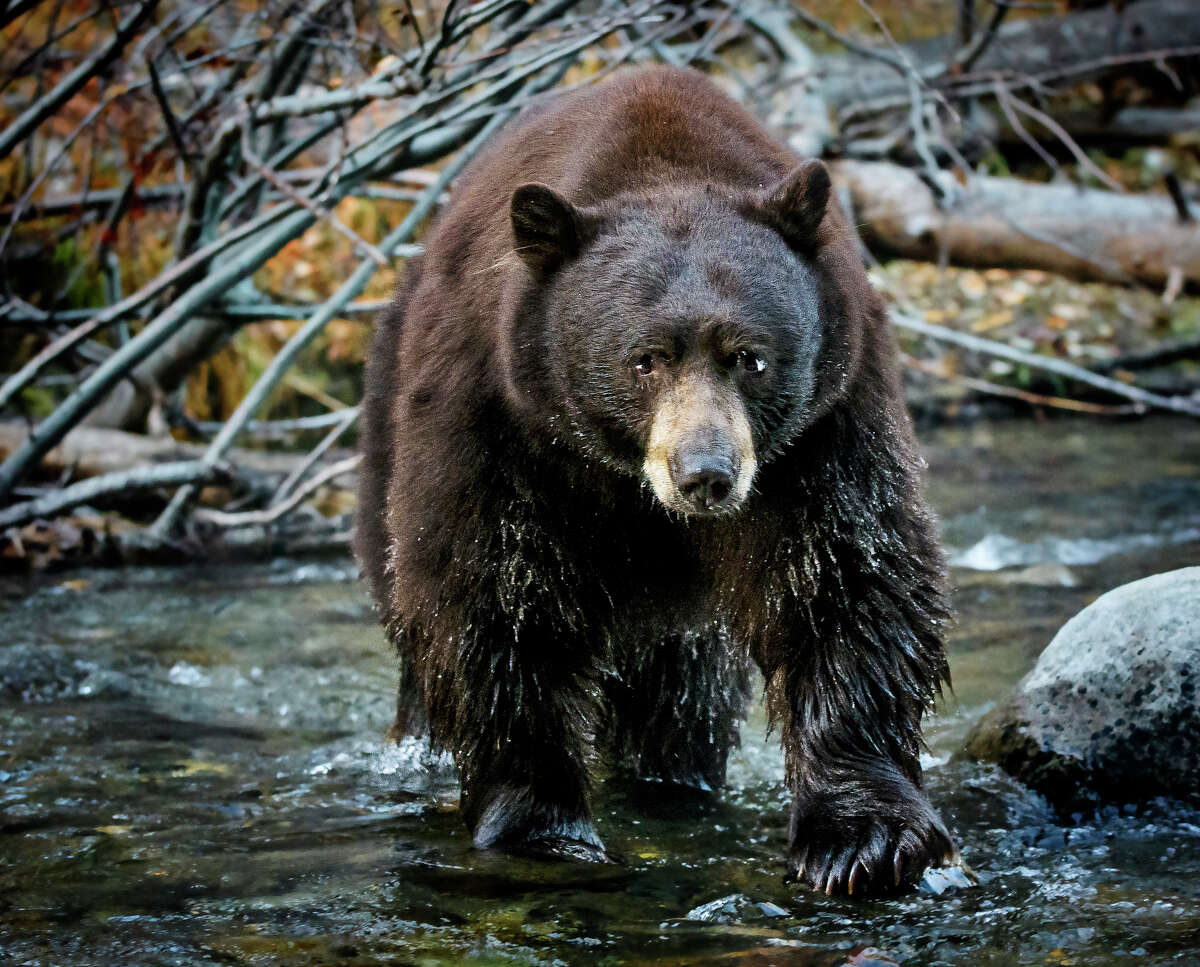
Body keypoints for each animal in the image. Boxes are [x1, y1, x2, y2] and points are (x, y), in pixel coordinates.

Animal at [352, 64, 955, 897]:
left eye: (749, 356)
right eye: (645, 359)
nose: (705, 474)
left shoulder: (824, 426)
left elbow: (845, 576)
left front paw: (863, 837)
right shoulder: (498, 421)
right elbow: (490, 597)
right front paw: (543, 826)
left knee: (682, 688)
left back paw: (673, 781)